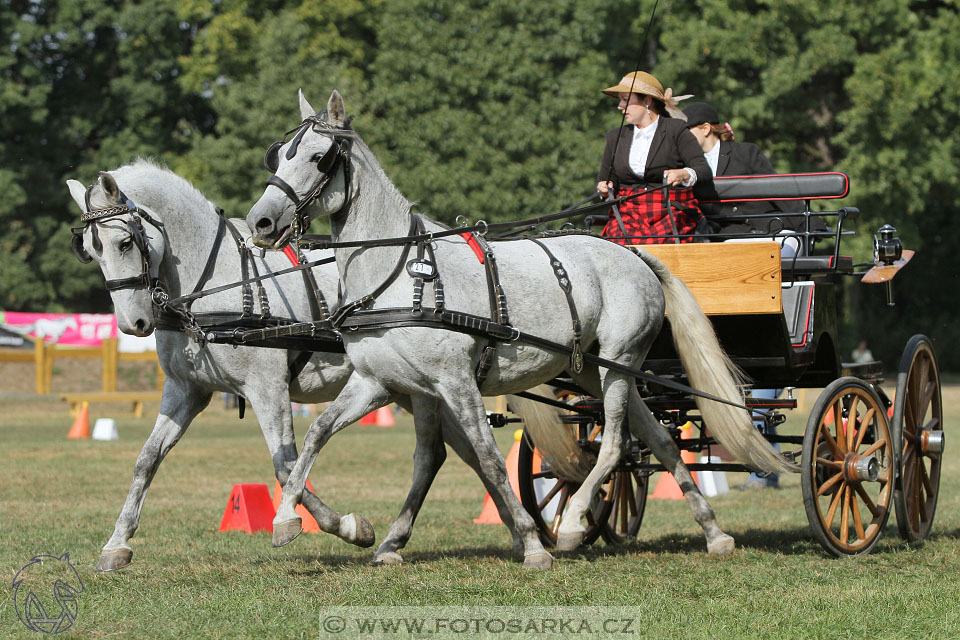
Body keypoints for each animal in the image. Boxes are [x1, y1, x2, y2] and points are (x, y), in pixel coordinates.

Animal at [67, 164, 498, 568]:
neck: (214, 284)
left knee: (437, 454)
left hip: (424, 386)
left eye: (124, 241)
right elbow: (146, 460)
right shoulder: (185, 390)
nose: (133, 324)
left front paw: (344, 526)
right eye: (90, 249)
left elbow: (286, 466)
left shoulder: (266, 388)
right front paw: (117, 543)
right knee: (460, 452)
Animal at [246, 90, 796, 564]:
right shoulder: (385, 383)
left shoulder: (455, 381)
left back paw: (571, 524)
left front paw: (532, 544)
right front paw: (294, 522)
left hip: (620, 362)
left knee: (615, 444)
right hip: (592, 370)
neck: (402, 274)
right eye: (278, 158)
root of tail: (633, 254)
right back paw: (714, 533)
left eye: (319, 157)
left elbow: (489, 459)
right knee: (656, 440)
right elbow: (321, 437)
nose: (260, 223)